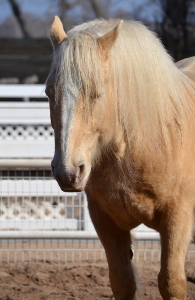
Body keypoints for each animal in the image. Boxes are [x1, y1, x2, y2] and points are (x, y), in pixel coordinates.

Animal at [46, 17, 195, 300]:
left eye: (97, 93)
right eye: (49, 93)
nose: (68, 173)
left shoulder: (178, 216)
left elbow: (171, 281)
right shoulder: (106, 221)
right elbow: (122, 282)